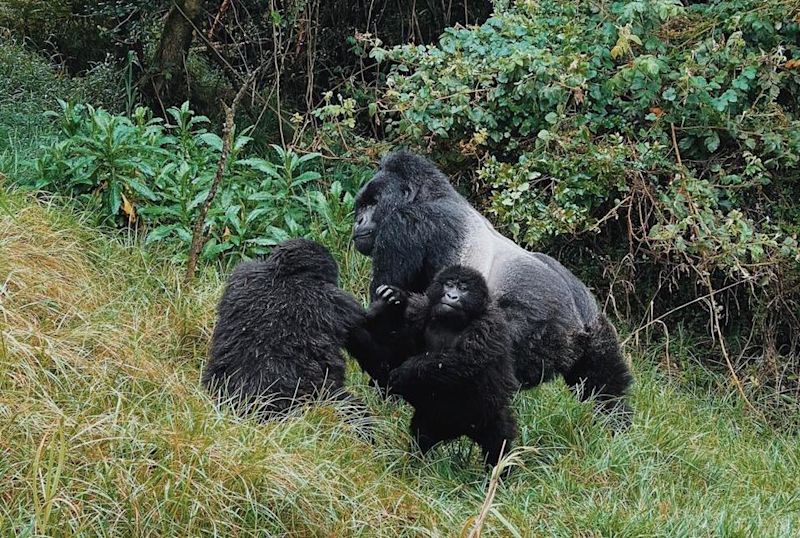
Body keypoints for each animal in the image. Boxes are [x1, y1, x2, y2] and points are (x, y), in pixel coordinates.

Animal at [354, 151, 636, 414]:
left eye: (373, 203)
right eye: (361, 206)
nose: (357, 220)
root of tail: (578, 321)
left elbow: (387, 317)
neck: (429, 194)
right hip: (598, 328)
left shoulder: (402, 226)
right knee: (606, 388)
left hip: (533, 331)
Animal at [368, 264, 520, 464]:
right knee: (422, 437)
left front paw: (406, 371)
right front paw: (394, 301)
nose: (452, 296)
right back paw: (417, 464)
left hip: (487, 417)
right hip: (431, 419)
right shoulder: (420, 309)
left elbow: (463, 361)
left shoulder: (489, 325)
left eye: (463, 288)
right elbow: (391, 343)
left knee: (498, 441)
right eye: (449, 284)